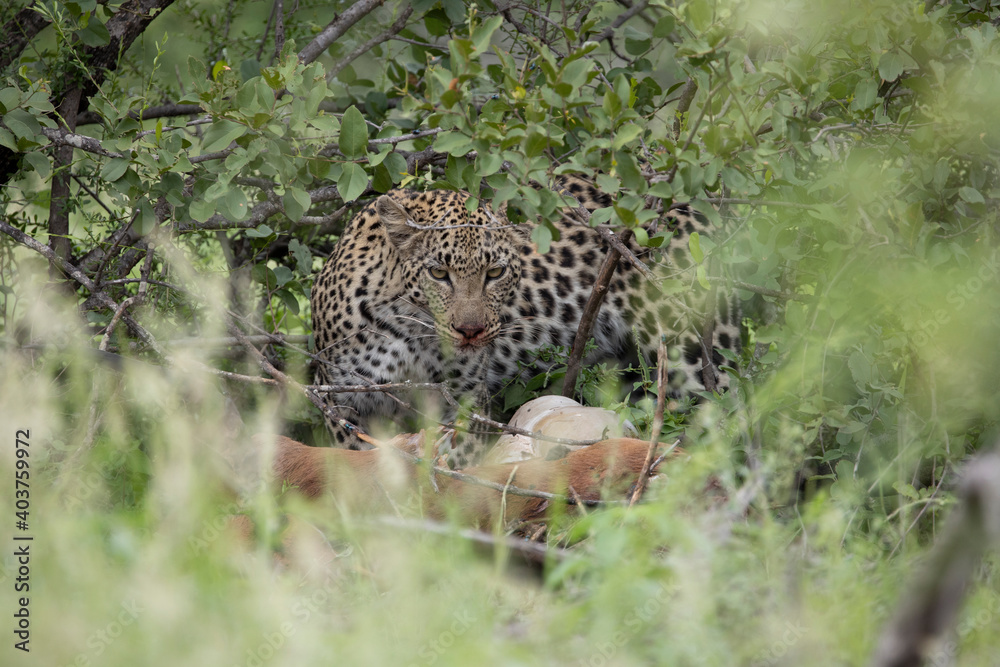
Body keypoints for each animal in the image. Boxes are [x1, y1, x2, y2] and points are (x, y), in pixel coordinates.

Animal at [310, 182, 742, 468]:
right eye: (438, 273)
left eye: (495, 272)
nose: (471, 331)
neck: (411, 332)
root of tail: (695, 205)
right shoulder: (341, 401)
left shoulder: (466, 402)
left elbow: (456, 464)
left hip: (695, 355)